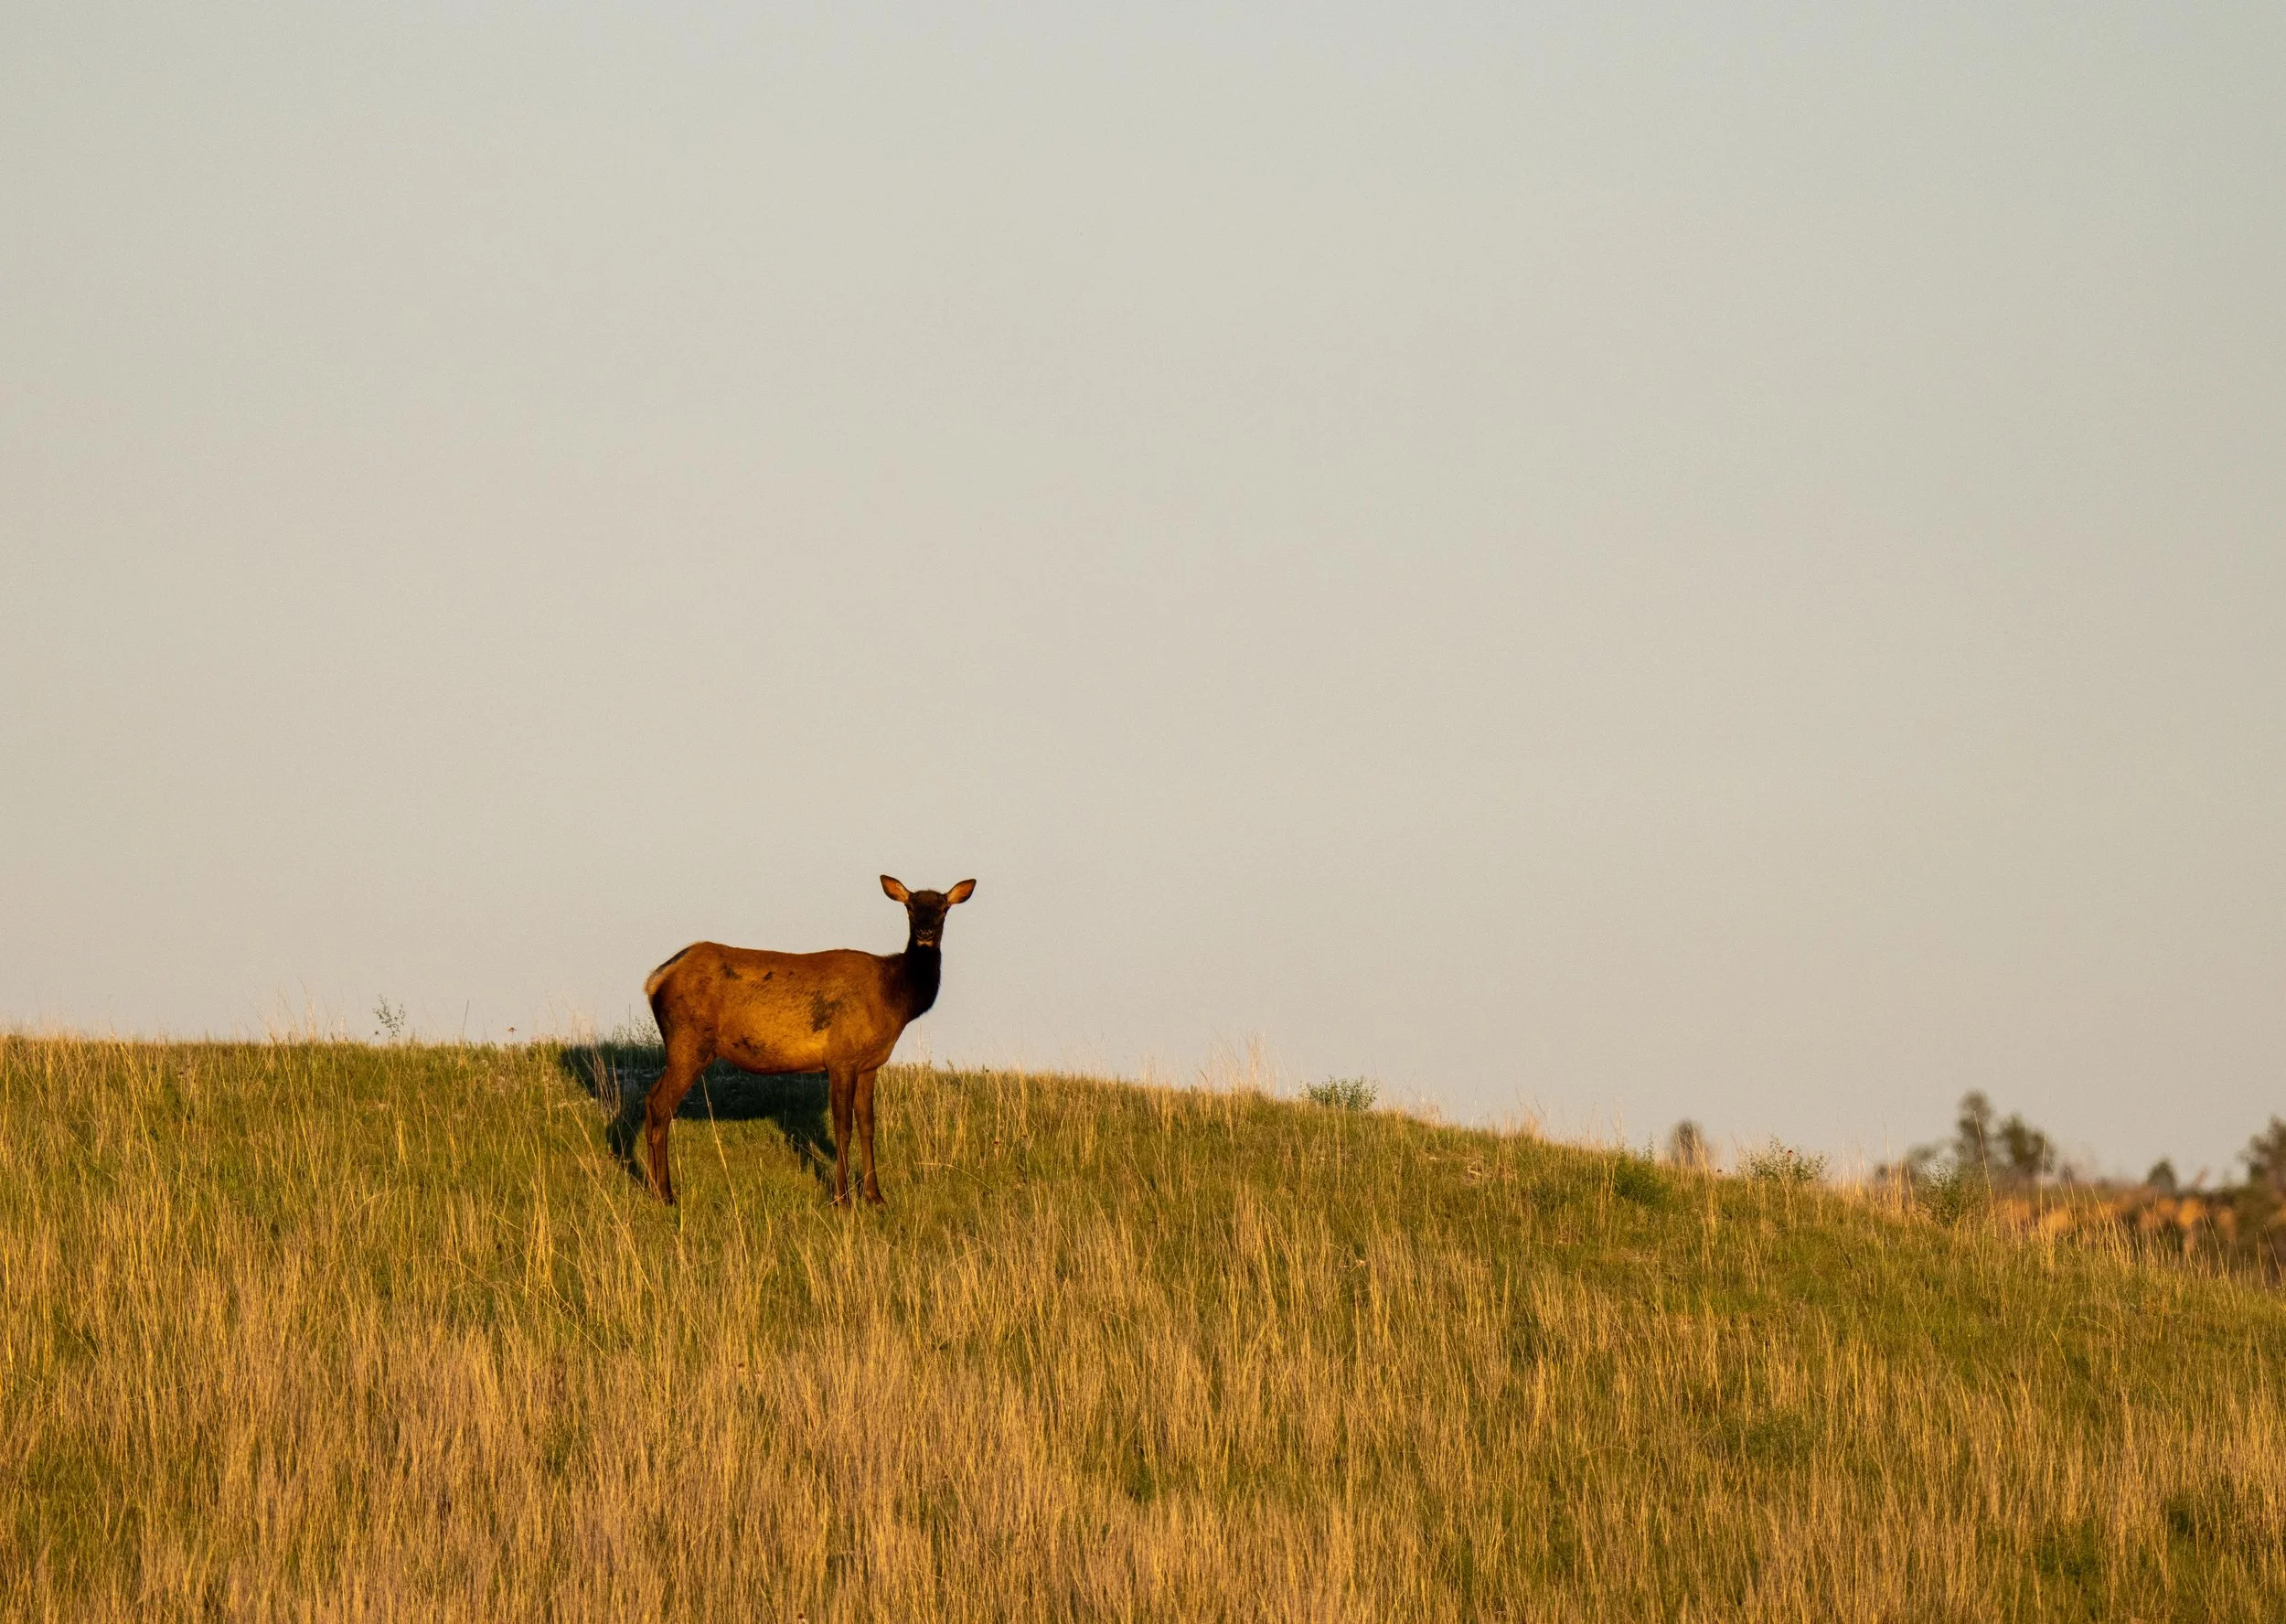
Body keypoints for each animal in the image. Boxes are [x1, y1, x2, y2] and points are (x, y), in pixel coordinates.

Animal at [639, 876, 975, 1207]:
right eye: (910, 907)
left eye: (943, 909)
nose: (925, 933)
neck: (893, 998)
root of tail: (656, 979)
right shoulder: (841, 1058)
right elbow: (843, 1128)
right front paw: (843, 1198)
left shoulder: (870, 1064)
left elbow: (868, 1126)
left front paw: (875, 1196)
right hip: (690, 1042)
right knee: (661, 1105)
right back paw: (666, 1194)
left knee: (650, 1100)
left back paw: (654, 1189)